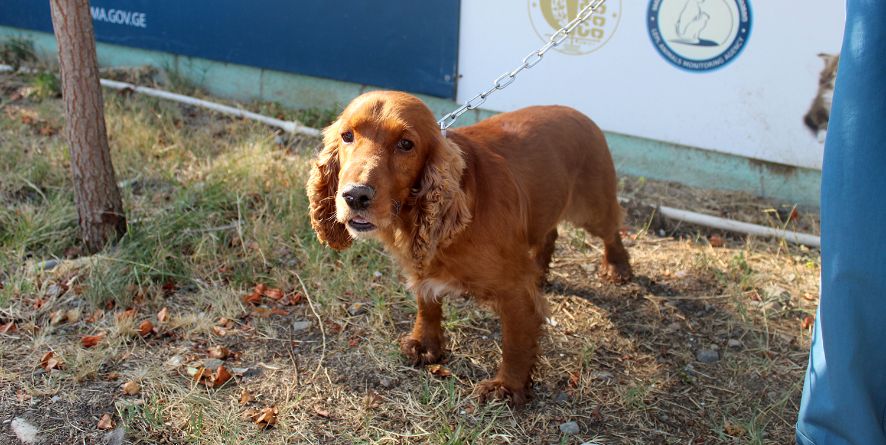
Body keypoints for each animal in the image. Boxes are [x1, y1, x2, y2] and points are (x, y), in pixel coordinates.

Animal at [306, 89, 632, 402]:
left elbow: (516, 342)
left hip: (592, 208)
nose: (355, 196)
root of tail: (577, 112)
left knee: (612, 229)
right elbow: (427, 306)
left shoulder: (515, 291)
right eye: (347, 136)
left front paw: (507, 387)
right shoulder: (421, 266)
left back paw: (617, 266)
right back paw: (541, 272)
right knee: (549, 234)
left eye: (406, 144)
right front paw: (425, 345)